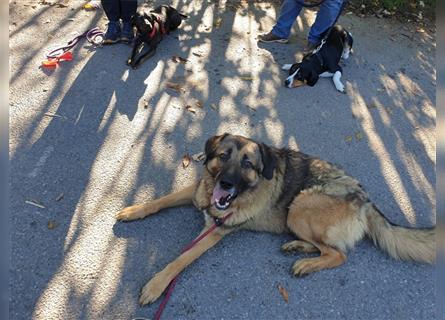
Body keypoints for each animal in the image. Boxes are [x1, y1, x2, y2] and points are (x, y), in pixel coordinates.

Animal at [114, 132, 434, 304]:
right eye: (223, 155)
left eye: (247, 164)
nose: (226, 184)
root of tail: (365, 199)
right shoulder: (196, 193)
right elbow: (160, 200)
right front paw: (134, 210)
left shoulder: (214, 232)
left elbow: (180, 259)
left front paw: (156, 285)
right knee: (328, 247)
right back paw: (297, 247)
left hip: (300, 207)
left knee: (338, 254)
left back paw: (305, 263)